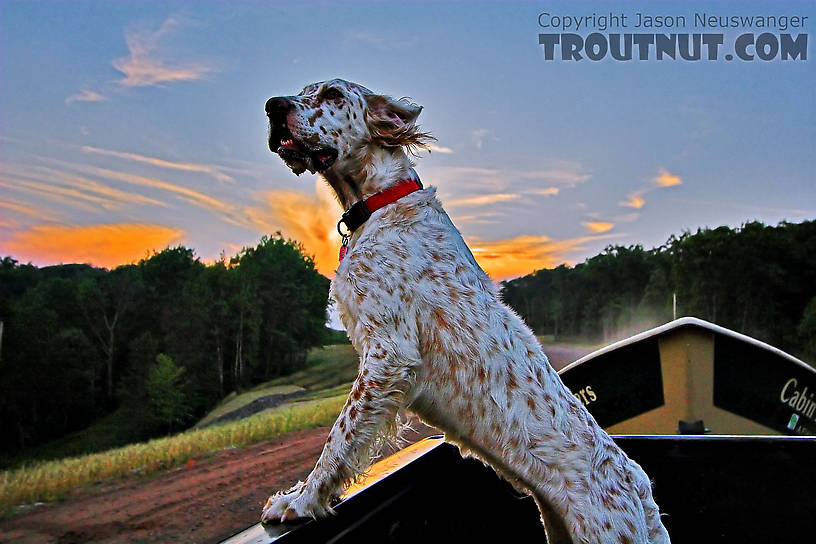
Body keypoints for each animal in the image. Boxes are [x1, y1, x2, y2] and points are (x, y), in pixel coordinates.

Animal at [260, 79, 668, 544]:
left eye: (331, 94)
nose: (273, 107)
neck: (381, 204)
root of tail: (640, 489)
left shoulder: (387, 353)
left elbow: (339, 438)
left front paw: (301, 500)